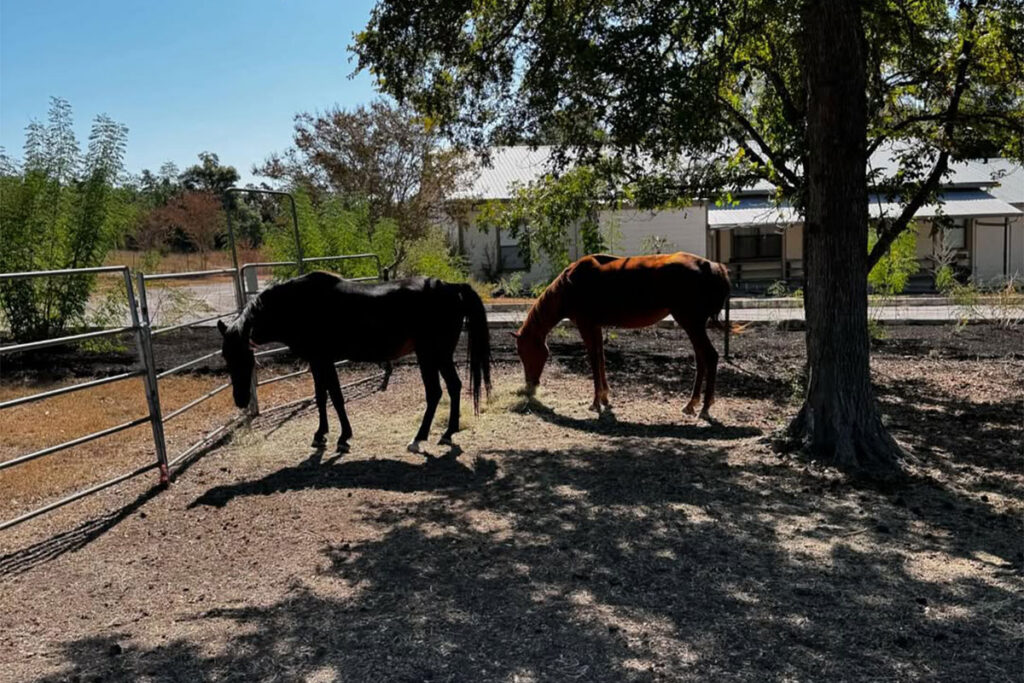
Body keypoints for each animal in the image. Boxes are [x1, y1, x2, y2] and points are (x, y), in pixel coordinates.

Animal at [218, 271, 491, 454]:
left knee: (436, 392)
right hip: (439, 355)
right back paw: (447, 434)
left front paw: (342, 438)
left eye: (247, 358)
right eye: (226, 357)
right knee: (453, 387)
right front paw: (321, 435)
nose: (240, 400)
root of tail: (449, 287)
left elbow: (335, 397)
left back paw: (418, 439)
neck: (301, 305)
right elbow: (322, 396)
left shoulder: (323, 360)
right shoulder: (317, 362)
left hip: (430, 355)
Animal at [513, 252, 735, 420]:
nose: (530, 385)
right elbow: (601, 358)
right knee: (701, 358)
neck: (570, 286)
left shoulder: (586, 326)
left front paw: (596, 402)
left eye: (524, 352)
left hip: (691, 323)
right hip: (693, 325)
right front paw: (604, 398)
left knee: (710, 356)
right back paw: (692, 404)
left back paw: (704, 407)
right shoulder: (596, 327)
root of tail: (710, 265)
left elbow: (594, 360)